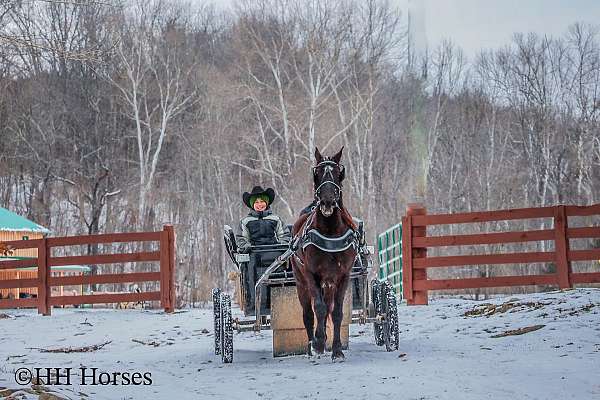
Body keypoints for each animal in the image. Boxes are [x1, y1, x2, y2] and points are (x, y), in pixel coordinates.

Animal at [290, 147, 356, 362]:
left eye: (337, 173)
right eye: (317, 173)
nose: (327, 201)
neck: (330, 231)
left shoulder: (343, 276)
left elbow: (336, 313)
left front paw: (337, 349)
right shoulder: (312, 275)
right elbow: (318, 309)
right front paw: (318, 343)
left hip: (330, 282)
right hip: (301, 282)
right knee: (308, 313)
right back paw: (313, 344)